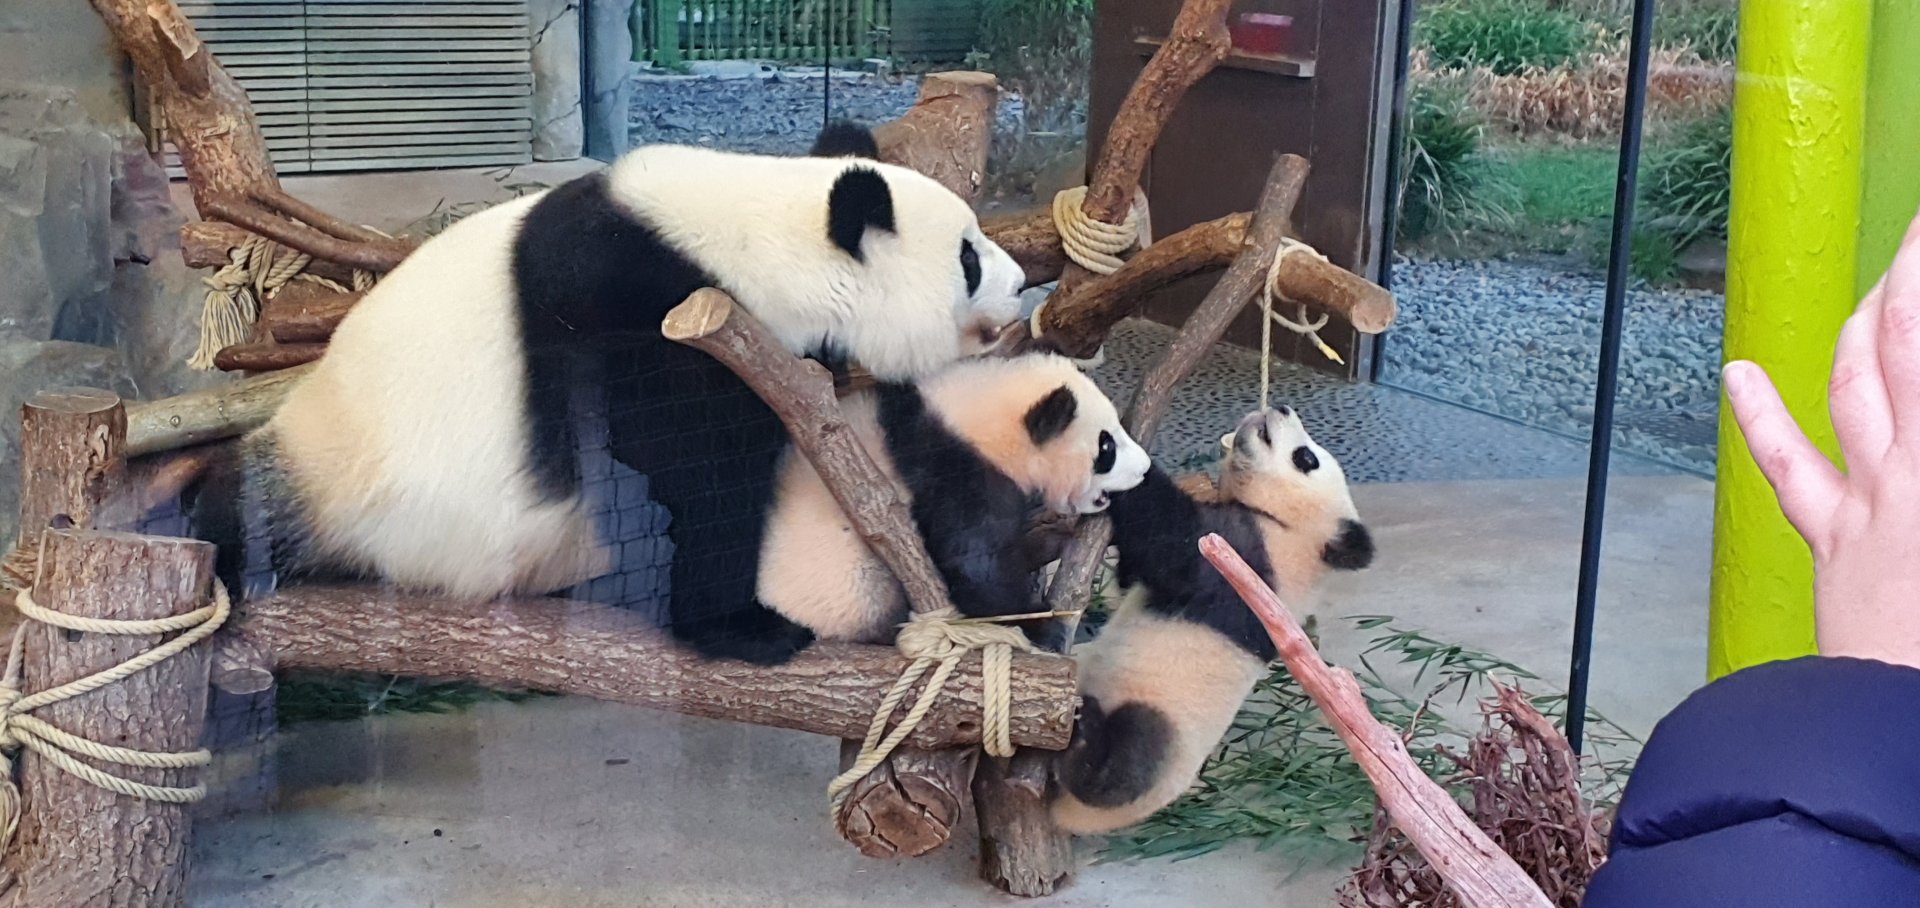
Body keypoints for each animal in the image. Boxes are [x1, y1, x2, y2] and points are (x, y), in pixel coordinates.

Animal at [191, 122, 1030, 665]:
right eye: (966, 259)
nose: (1023, 284)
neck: (757, 238)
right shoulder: (642, 314)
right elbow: (688, 468)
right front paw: (745, 628)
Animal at [754, 353, 1151, 650]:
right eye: (1106, 447)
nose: (1145, 469)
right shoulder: (952, 469)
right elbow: (973, 563)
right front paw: (1040, 624)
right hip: (846, 581)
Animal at [1050, 405, 1375, 834]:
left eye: (1306, 458)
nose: (1284, 408)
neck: (1298, 535)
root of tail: (1068, 816)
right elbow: (1133, 575)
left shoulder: (1246, 560)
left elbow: (1172, 539)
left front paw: (1125, 461)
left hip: (1161, 729)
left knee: (1131, 760)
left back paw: (1085, 743)